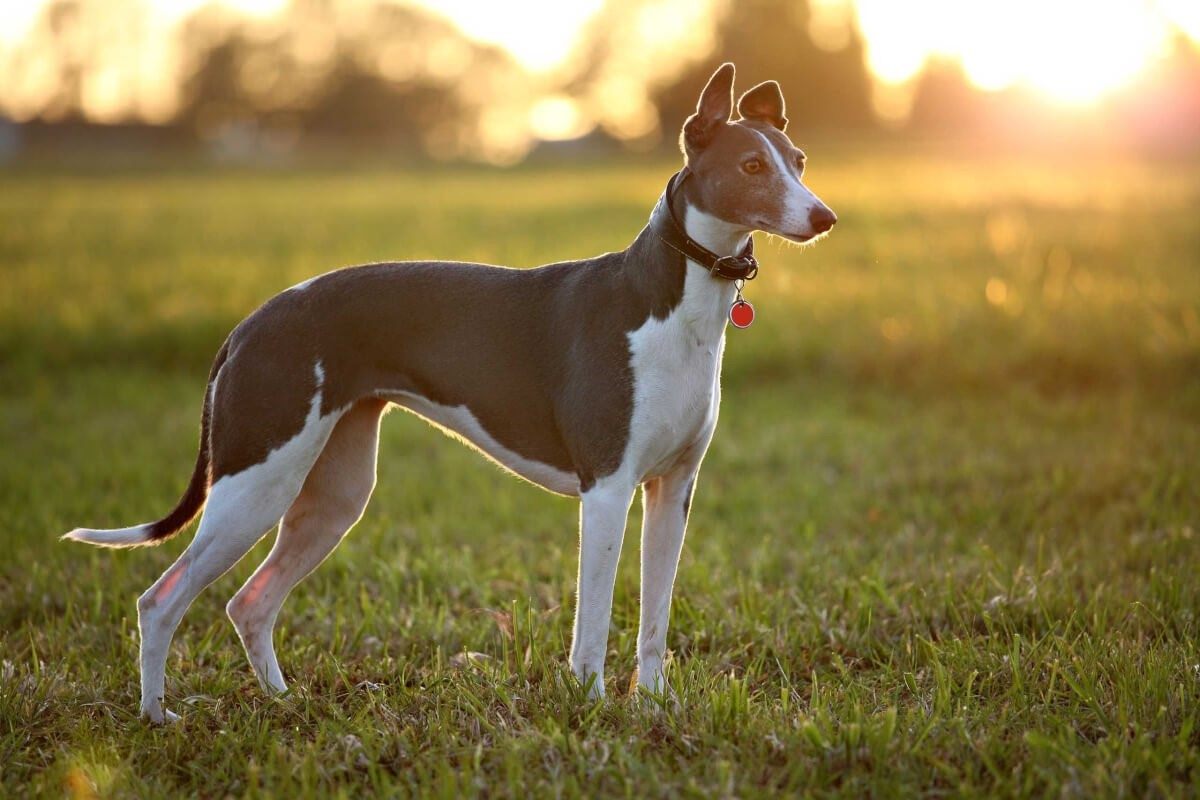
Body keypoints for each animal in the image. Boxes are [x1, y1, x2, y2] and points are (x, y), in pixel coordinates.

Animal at [65, 64, 835, 724]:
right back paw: (156, 715)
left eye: (798, 160)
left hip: (332, 494)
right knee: (160, 599)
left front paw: (651, 707)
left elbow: (654, 617)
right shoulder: (607, 490)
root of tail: (251, 322)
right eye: (751, 166)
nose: (825, 218)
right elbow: (592, 620)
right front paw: (589, 705)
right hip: (256, 481)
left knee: (249, 603)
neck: (670, 302)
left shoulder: (672, 492)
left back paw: (284, 701)